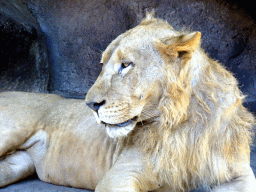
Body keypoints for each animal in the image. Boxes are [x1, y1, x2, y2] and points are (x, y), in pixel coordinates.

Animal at [0, 13, 256, 192]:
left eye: (126, 65)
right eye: (102, 64)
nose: (90, 105)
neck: (183, 119)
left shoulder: (239, 174)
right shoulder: (120, 175)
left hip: (18, 165)